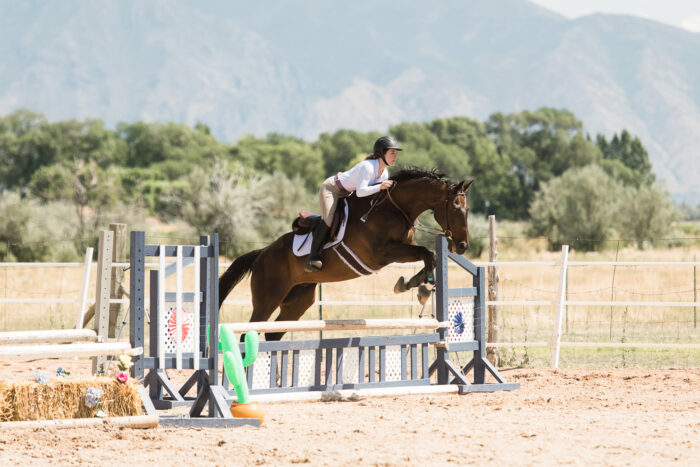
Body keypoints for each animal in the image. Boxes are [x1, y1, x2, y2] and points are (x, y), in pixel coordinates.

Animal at [218, 167, 472, 341]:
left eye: (467, 209)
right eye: (456, 207)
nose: (462, 246)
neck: (394, 208)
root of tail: (262, 253)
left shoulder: (400, 248)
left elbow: (429, 255)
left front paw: (415, 282)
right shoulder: (382, 253)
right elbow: (427, 253)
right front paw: (420, 286)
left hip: (298, 301)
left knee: (273, 334)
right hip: (267, 298)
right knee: (249, 333)